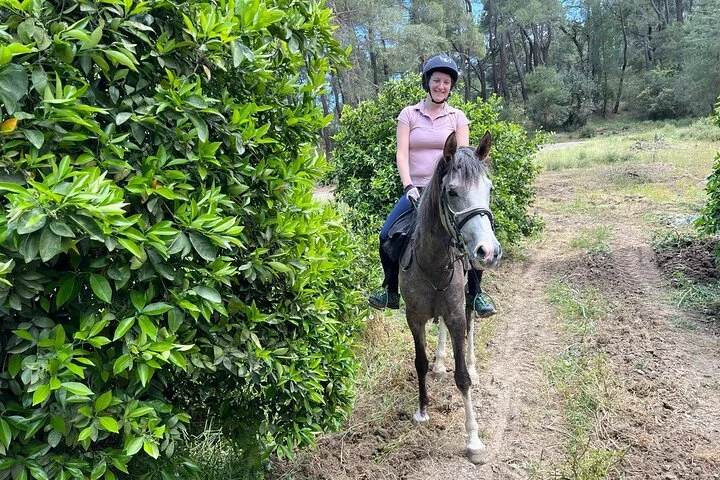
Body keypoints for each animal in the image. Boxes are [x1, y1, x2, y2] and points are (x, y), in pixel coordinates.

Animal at [398, 130, 502, 464]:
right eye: (452, 193)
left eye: (489, 189)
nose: (488, 251)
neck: (432, 261)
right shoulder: (414, 317)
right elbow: (419, 362)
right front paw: (422, 411)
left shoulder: (456, 314)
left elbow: (462, 378)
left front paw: (474, 440)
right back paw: (440, 363)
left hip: (467, 297)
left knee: (471, 325)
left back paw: (473, 366)